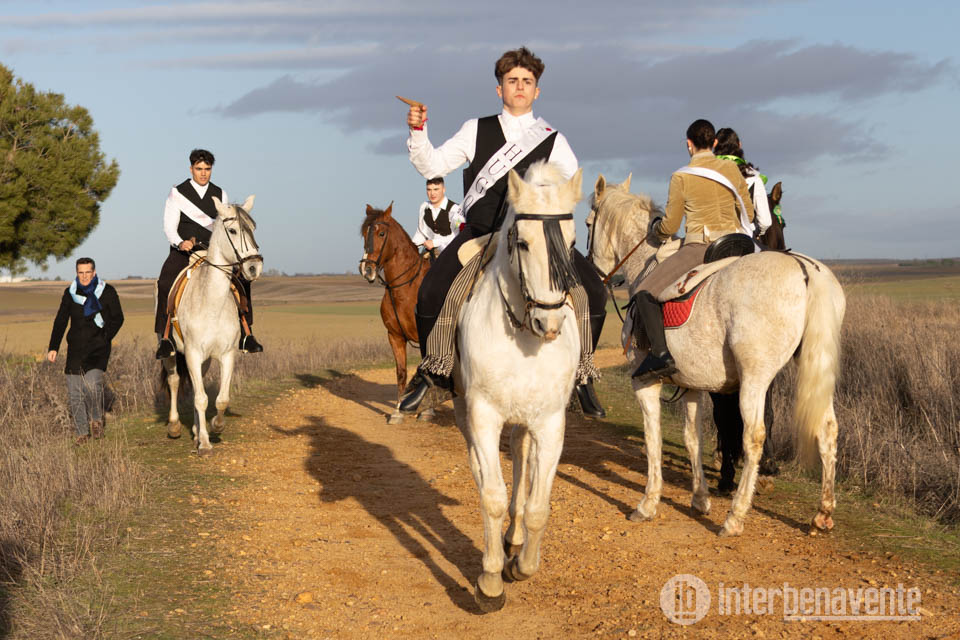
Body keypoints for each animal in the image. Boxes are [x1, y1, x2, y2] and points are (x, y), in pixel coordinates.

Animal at [161, 196, 263, 456]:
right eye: (233, 230)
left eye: (253, 229)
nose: (253, 268)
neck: (212, 304)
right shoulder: (193, 354)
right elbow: (200, 398)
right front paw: (205, 444)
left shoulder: (226, 354)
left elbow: (220, 399)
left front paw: (215, 426)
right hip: (172, 353)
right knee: (174, 381)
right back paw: (175, 426)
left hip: (204, 360)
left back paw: (197, 431)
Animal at [359, 203, 431, 423]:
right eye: (364, 233)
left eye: (381, 233)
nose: (367, 270)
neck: (406, 288)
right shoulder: (395, 336)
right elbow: (401, 372)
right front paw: (398, 410)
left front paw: (426, 411)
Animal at [454, 161, 583, 612]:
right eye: (523, 243)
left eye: (573, 242)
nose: (550, 323)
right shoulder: (483, 416)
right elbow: (491, 496)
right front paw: (490, 580)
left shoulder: (550, 423)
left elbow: (539, 505)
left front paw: (521, 565)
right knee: (483, 471)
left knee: (522, 464)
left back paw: (515, 538)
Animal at [586, 175, 845, 537]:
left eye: (588, 224)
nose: (593, 272)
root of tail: (804, 267)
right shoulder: (692, 385)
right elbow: (692, 438)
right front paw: (699, 498)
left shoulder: (645, 383)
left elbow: (654, 437)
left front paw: (648, 503)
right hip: (815, 369)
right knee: (827, 428)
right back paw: (822, 513)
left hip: (755, 378)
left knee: (754, 436)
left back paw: (735, 516)